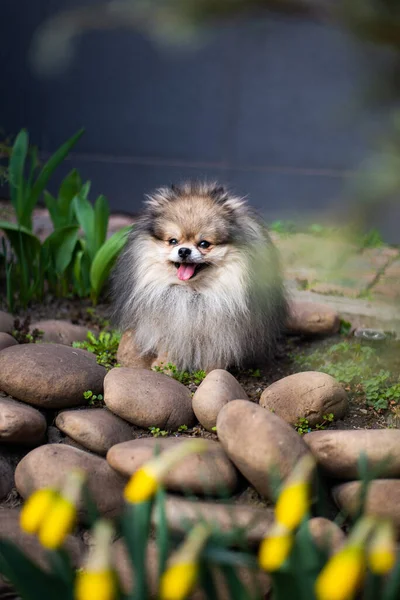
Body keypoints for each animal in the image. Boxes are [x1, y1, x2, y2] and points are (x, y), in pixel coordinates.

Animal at [112, 180, 288, 372]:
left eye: (204, 244)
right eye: (173, 241)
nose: (183, 250)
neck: (193, 293)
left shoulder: (223, 331)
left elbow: (218, 351)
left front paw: (214, 371)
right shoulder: (172, 325)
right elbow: (169, 346)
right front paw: (164, 366)